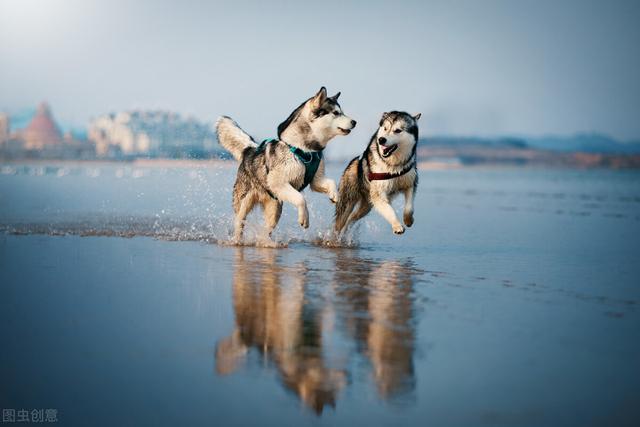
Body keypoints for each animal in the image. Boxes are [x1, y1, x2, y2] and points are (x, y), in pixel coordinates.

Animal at [218, 87, 358, 242]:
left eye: (342, 112)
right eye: (336, 113)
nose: (354, 122)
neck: (305, 149)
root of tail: (250, 149)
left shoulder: (316, 180)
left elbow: (330, 182)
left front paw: (335, 195)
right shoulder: (279, 183)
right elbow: (301, 198)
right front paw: (304, 218)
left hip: (274, 209)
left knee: (267, 230)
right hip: (244, 205)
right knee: (239, 223)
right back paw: (237, 240)